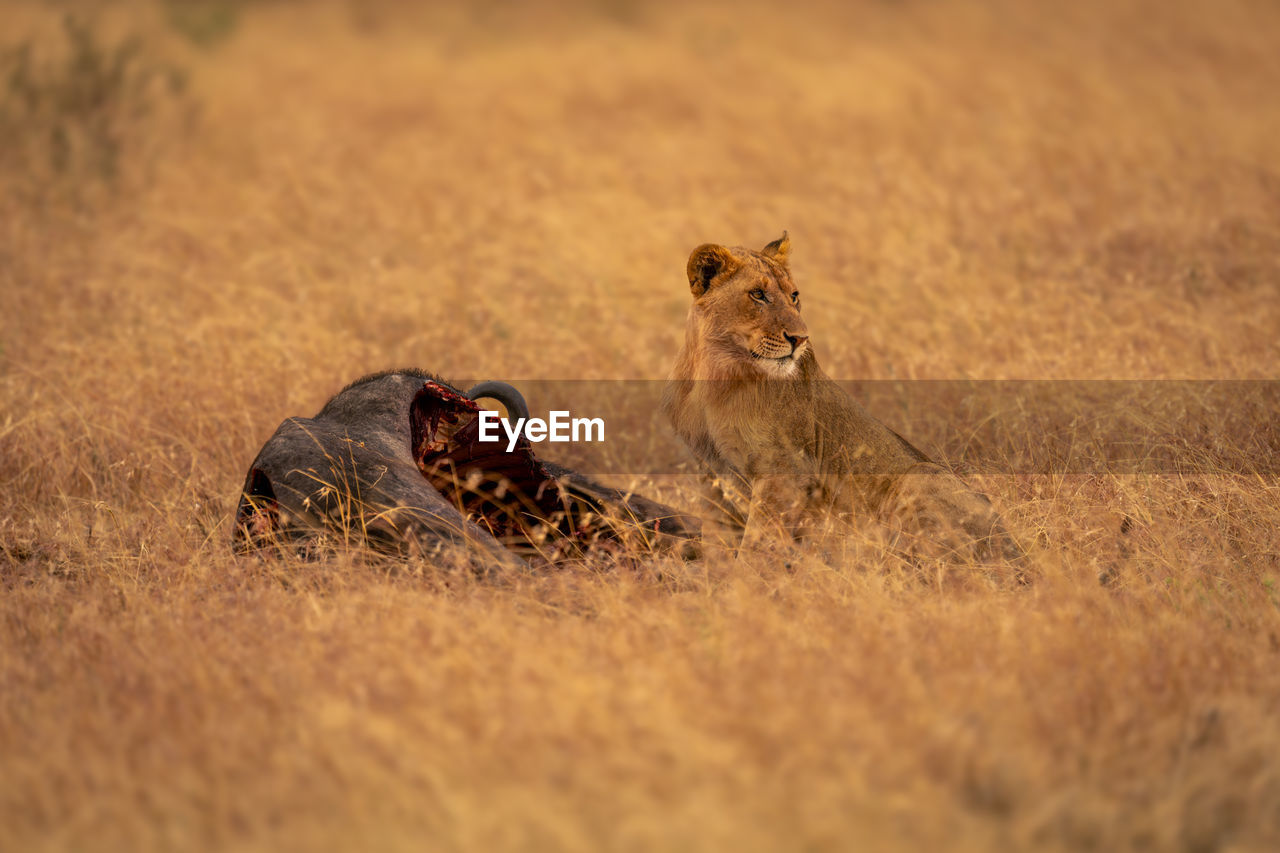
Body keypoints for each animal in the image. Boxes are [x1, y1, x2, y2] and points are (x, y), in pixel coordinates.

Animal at [665, 233, 1024, 563]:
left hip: (921, 476)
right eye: (758, 294)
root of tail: (1016, 550)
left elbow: (758, 542)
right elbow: (719, 534)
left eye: (794, 296)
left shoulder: (783, 470)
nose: (800, 339)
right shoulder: (709, 470)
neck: (714, 372)